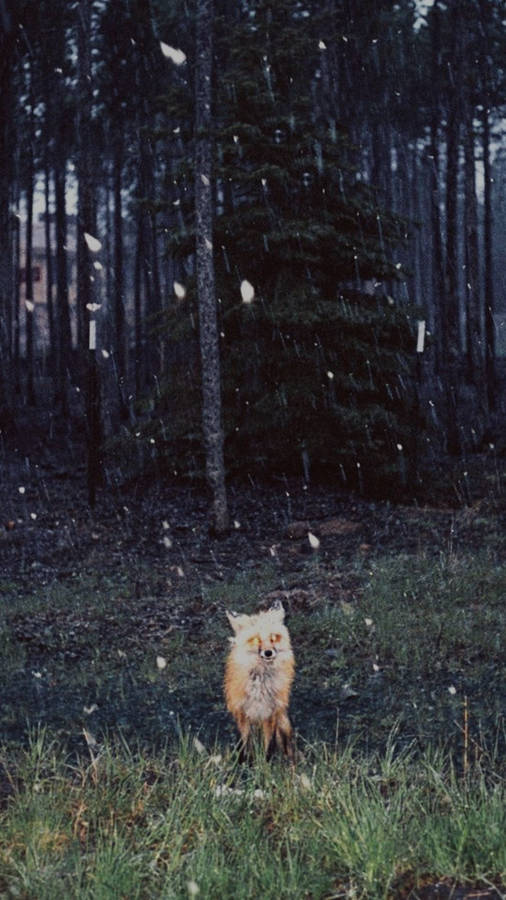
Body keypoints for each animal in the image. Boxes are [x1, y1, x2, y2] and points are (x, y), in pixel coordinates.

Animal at [224, 599, 295, 763]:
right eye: (256, 639)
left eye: (274, 638)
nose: (268, 652)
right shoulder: (243, 713)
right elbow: (247, 744)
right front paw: (246, 763)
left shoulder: (271, 712)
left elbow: (269, 744)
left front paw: (267, 763)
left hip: (283, 722)